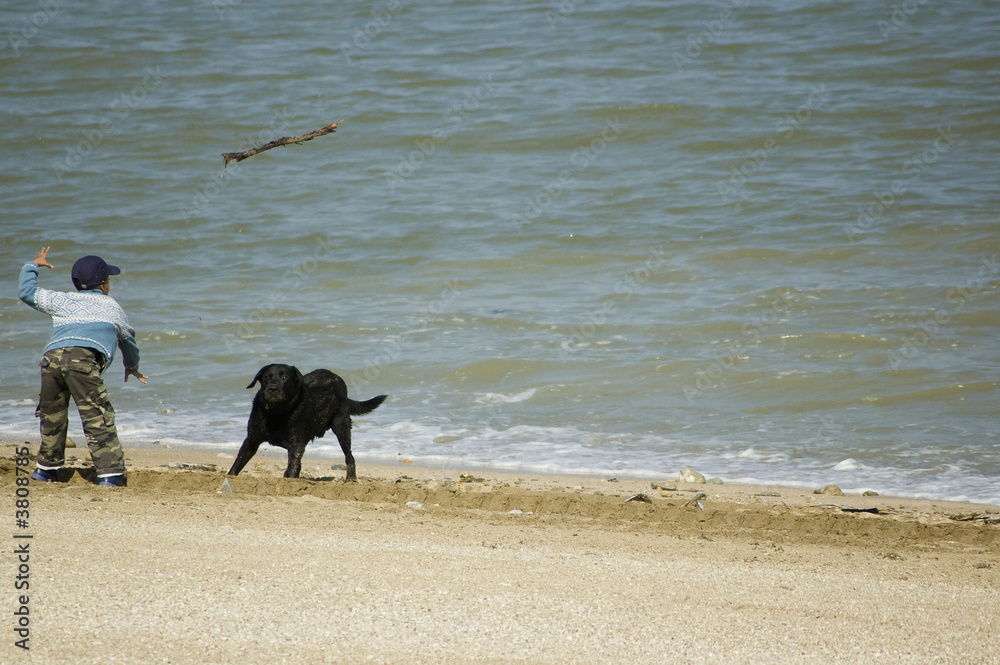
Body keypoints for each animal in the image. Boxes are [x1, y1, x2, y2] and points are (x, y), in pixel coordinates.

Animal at [228, 364, 386, 482]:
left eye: (285, 377)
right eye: (267, 377)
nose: (273, 389)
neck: (276, 413)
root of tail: (336, 377)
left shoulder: (296, 445)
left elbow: (292, 467)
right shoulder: (251, 440)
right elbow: (237, 464)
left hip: (342, 427)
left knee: (349, 456)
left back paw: (351, 479)